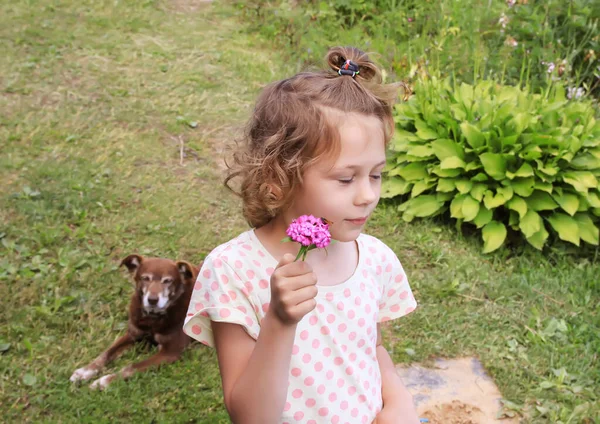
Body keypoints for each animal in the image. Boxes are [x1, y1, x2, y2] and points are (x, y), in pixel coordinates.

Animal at [69, 253, 202, 390]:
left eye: (167, 281)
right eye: (145, 278)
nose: (152, 300)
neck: (152, 319)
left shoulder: (171, 351)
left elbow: (131, 368)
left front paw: (105, 381)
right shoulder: (133, 333)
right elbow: (107, 353)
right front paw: (86, 371)